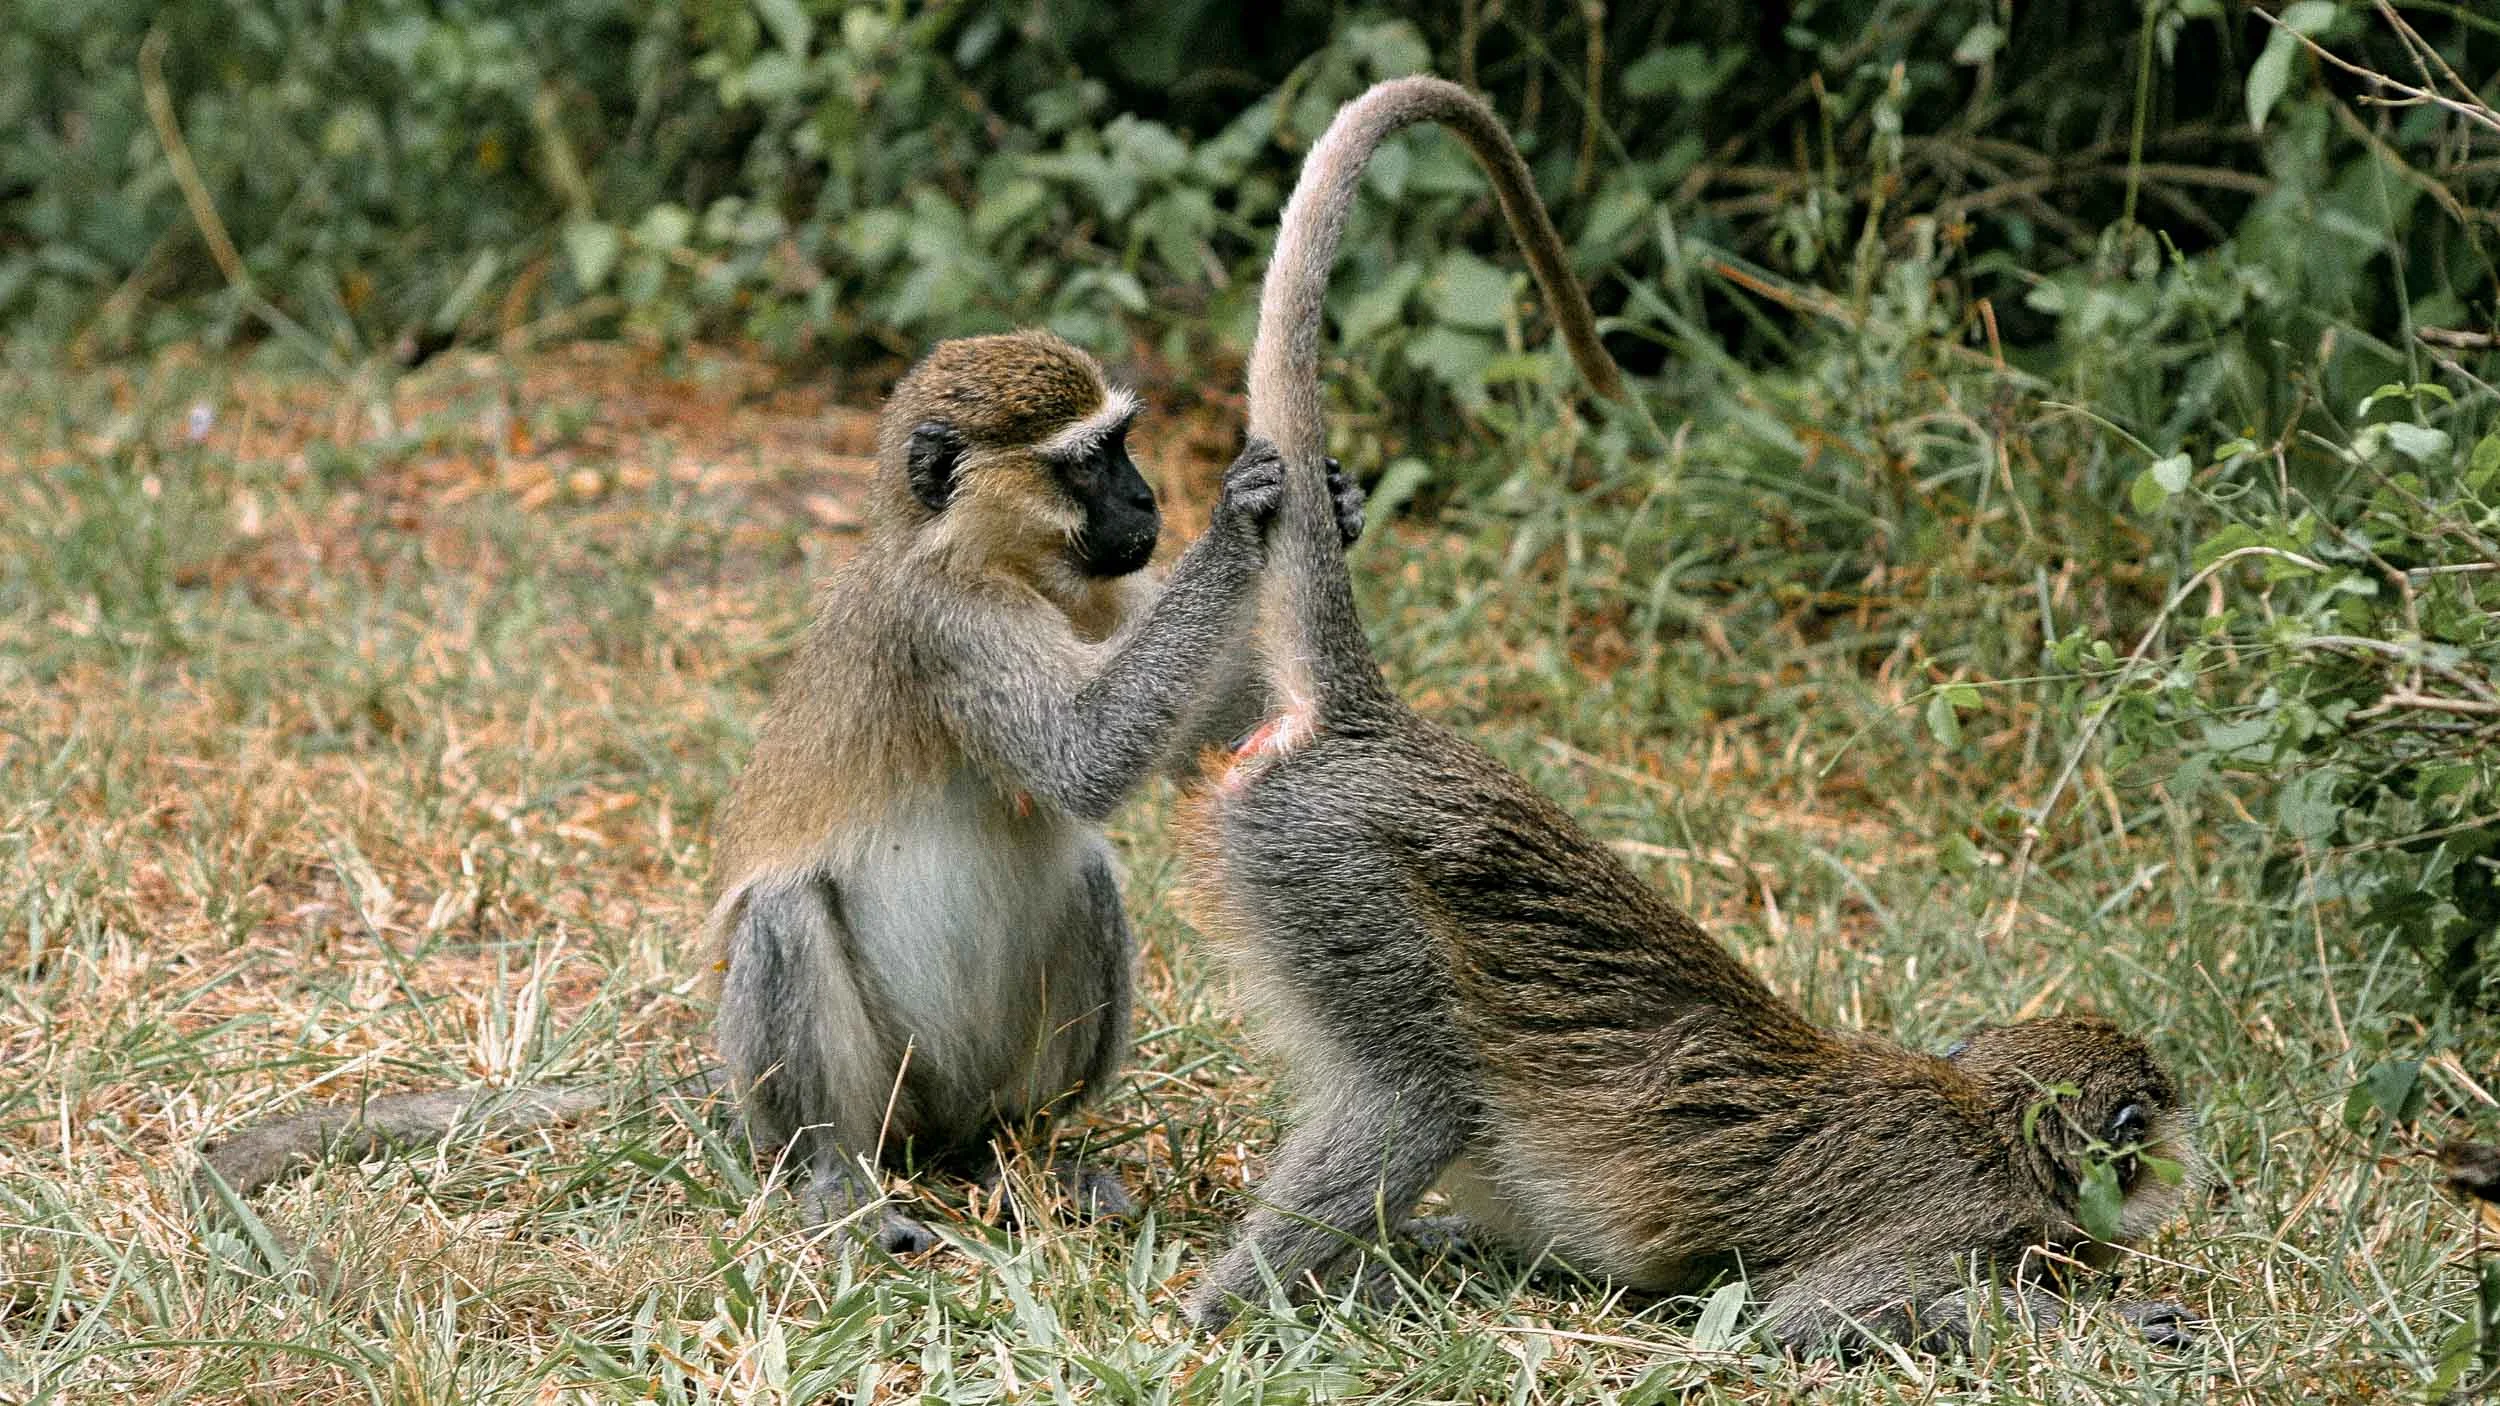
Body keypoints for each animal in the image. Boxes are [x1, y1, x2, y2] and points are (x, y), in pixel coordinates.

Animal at [191, 330, 1368, 1267]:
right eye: (1089, 461)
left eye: (1123, 446)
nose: (1148, 502)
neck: (989, 562)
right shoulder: (941, 629)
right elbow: (1087, 755)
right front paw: (1239, 520)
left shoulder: (1105, 590)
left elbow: (1217, 739)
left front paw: (1337, 505)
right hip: (845, 1094)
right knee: (789, 917)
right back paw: (837, 1182)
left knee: (1083, 880)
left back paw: (1018, 1153)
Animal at [1173, 75, 2201, 1353]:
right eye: (2153, 1119)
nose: (2184, 1168)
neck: (1982, 1109)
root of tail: (1374, 725)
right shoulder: (1963, 1206)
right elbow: (1811, 1315)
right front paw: (2129, 1319)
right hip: (1336, 869)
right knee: (1418, 1094)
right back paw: (1225, 1313)